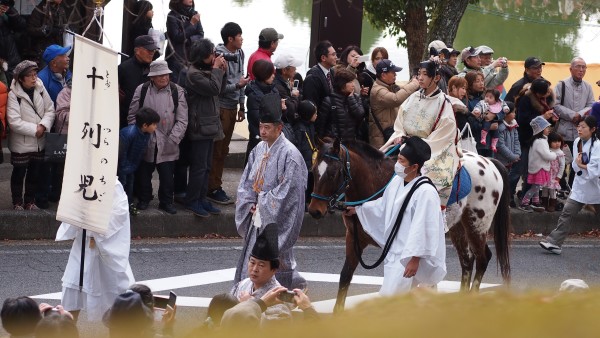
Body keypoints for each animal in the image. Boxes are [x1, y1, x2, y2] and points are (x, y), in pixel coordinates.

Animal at [310, 139, 510, 312]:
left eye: (333, 173)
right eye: (313, 171)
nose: (314, 211)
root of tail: (489, 162)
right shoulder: (353, 237)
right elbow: (345, 276)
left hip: (477, 223)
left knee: (482, 258)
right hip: (458, 226)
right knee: (467, 262)